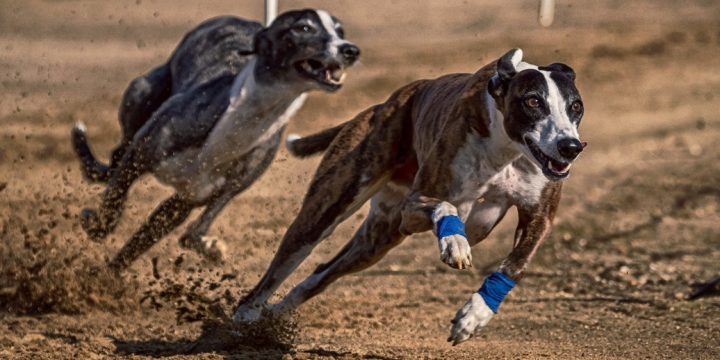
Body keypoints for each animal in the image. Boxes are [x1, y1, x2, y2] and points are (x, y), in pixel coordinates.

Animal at [73, 8, 360, 270]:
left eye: (340, 31)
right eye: (303, 28)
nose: (351, 50)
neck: (243, 119)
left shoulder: (185, 201)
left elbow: (141, 244)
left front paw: (107, 280)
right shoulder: (139, 157)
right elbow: (113, 202)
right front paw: (96, 227)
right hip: (141, 95)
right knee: (116, 158)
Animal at [235, 47, 584, 344]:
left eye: (576, 107)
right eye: (533, 102)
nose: (571, 147)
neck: (508, 149)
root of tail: (381, 106)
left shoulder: (539, 216)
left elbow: (515, 264)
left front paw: (474, 316)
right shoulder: (414, 206)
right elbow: (446, 207)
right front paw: (455, 244)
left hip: (376, 240)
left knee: (321, 273)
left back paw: (275, 315)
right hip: (330, 208)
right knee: (285, 261)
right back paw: (246, 316)